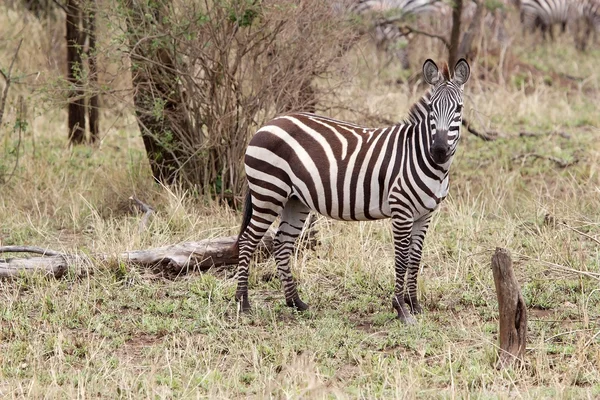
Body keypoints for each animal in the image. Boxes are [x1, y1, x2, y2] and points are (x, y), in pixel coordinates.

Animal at [232, 57, 472, 324]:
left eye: (458, 109)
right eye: (431, 110)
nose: (439, 150)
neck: (423, 158)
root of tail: (268, 124)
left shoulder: (425, 214)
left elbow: (415, 259)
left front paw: (415, 304)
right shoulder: (401, 211)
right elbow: (401, 259)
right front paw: (401, 308)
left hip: (295, 200)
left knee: (281, 244)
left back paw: (296, 303)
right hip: (268, 193)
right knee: (247, 241)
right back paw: (243, 303)